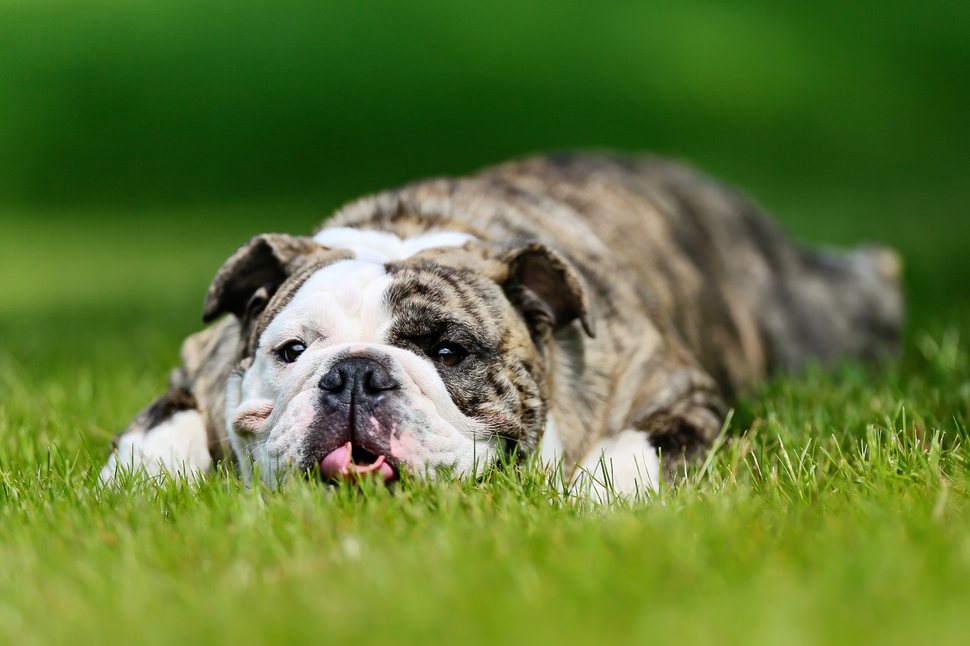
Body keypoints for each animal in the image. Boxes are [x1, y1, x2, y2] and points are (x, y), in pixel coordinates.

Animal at [98, 154, 900, 498]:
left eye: (449, 351)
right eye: (291, 352)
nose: (354, 372)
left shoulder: (680, 394)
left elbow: (636, 449)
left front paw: (596, 498)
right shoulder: (196, 367)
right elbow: (161, 427)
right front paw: (138, 485)